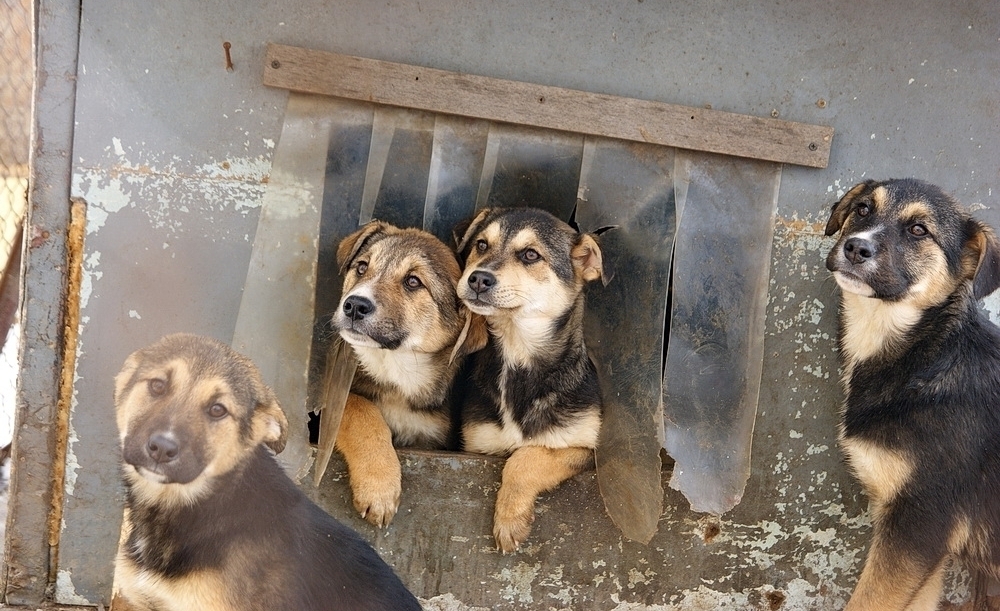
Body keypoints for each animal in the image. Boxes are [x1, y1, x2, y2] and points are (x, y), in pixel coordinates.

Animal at [332, 222, 484, 528]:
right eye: (362, 267)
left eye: (413, 282)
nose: (354, 305)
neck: (397, 374)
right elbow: (361, 410)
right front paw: (378, 486)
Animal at [456, 207, 608, 556]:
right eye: (481, 245)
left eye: (530, 255)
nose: (478, 278)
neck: (519, 355)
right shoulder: (477, 447)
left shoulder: (585, 447)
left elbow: (526, 457)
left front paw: (509, 518)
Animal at [824, 178, 1000, 611]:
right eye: (864, 209)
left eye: (919, 230)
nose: (855, 247)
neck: (927, 357)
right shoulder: (923, 545)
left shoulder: (920, 521)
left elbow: (867, 602)